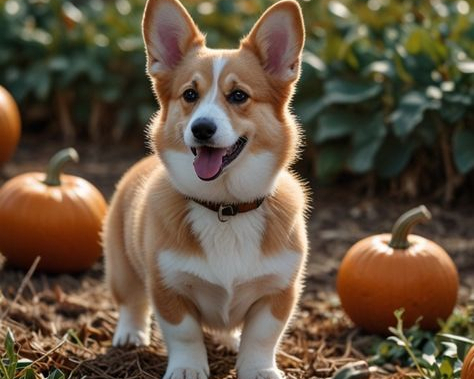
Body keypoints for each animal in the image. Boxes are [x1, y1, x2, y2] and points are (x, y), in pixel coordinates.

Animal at [103, 0, 308, 378]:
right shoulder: (167, 286)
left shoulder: (278, 290)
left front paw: (258, 369)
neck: (225, 207)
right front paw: (188, 369)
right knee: (131, 301)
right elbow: (184, 334)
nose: (201, 128)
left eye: (238, 95)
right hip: (121, 265)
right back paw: (130, 334)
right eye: (190, 95)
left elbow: (262, 338)